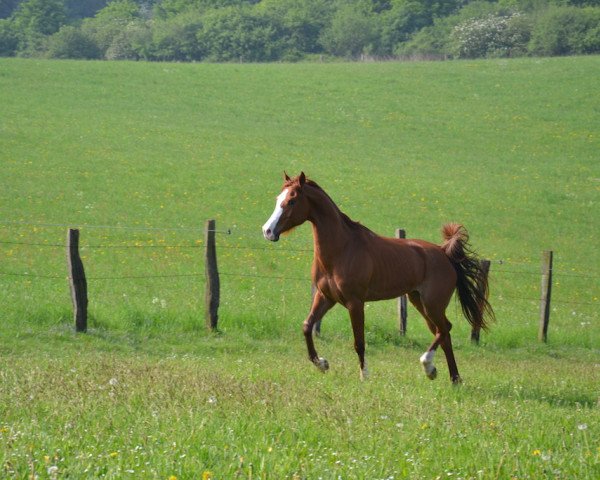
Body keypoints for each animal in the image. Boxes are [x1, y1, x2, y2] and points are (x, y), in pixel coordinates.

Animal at [262, 172, 492, 382]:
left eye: (291, 200)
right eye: (277, 198)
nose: (267, 231)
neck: (342, 249)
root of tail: (444, 253)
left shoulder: (355, 302)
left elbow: (359, 342)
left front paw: (364, 376)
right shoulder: (325, 297)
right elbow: (307, 326)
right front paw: (322, 364)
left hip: (432, 304)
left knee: (445, 329)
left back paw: (429, 365)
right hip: (419, 301)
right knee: (442, 332)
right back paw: (450, 377)